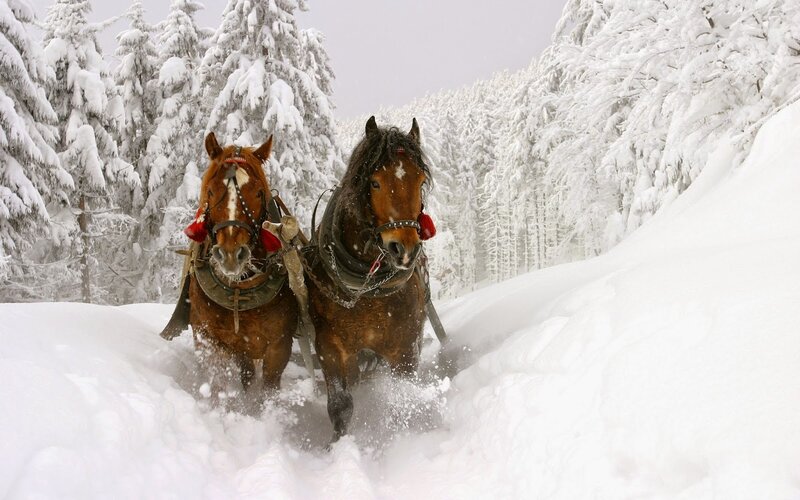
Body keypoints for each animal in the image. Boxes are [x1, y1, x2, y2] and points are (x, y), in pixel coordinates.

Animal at [174, 132, 298, 400]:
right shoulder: (209, 339)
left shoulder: (279, 347)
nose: (231, 254)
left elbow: (268, 391)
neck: (238, 291)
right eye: (210, 191)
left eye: (259, 193)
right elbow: (219, 385)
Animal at [306, 116, 436, 440]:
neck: (367, 289)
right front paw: (337, 446)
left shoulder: (405, 348)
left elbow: (402, 399)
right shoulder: (330, 346)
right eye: (375, 182)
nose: (404, 249)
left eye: (420, 181)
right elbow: (341, 406)